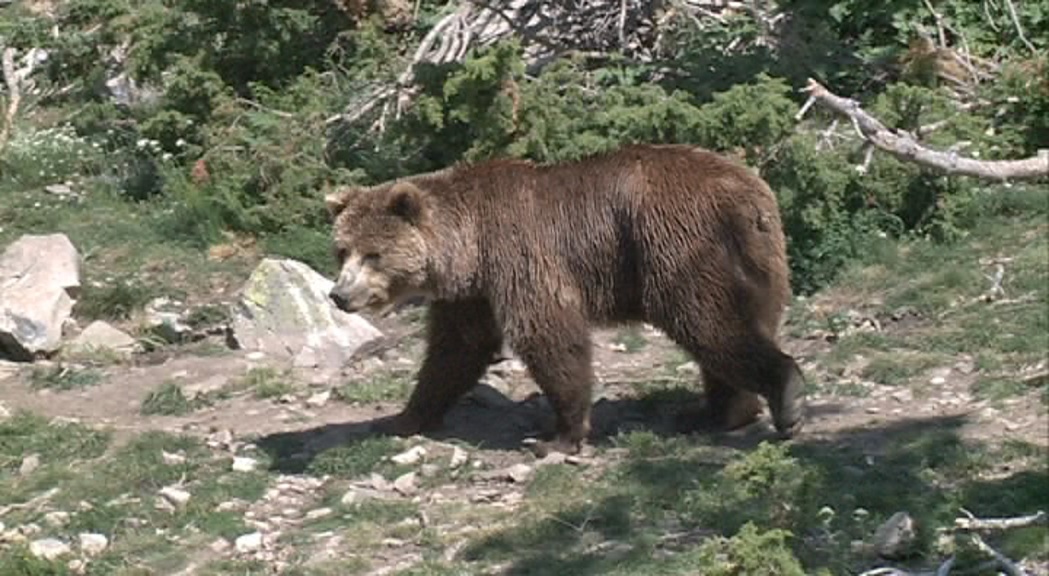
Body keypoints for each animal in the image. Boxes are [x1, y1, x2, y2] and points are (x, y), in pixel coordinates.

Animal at [323, 142, 805, 453]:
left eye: (373, 254)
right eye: (342, 250)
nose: (339, 295)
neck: (468, 247)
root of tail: (746, 192)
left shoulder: (518, 257)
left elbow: (549, 334)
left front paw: (560, 435)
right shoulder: (472, 294)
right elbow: (455, 350)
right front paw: (403, 418)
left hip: (677, 244)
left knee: (707, 323)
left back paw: (782, 393)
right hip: (757, 259)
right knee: (737, 323)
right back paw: (722, 412)